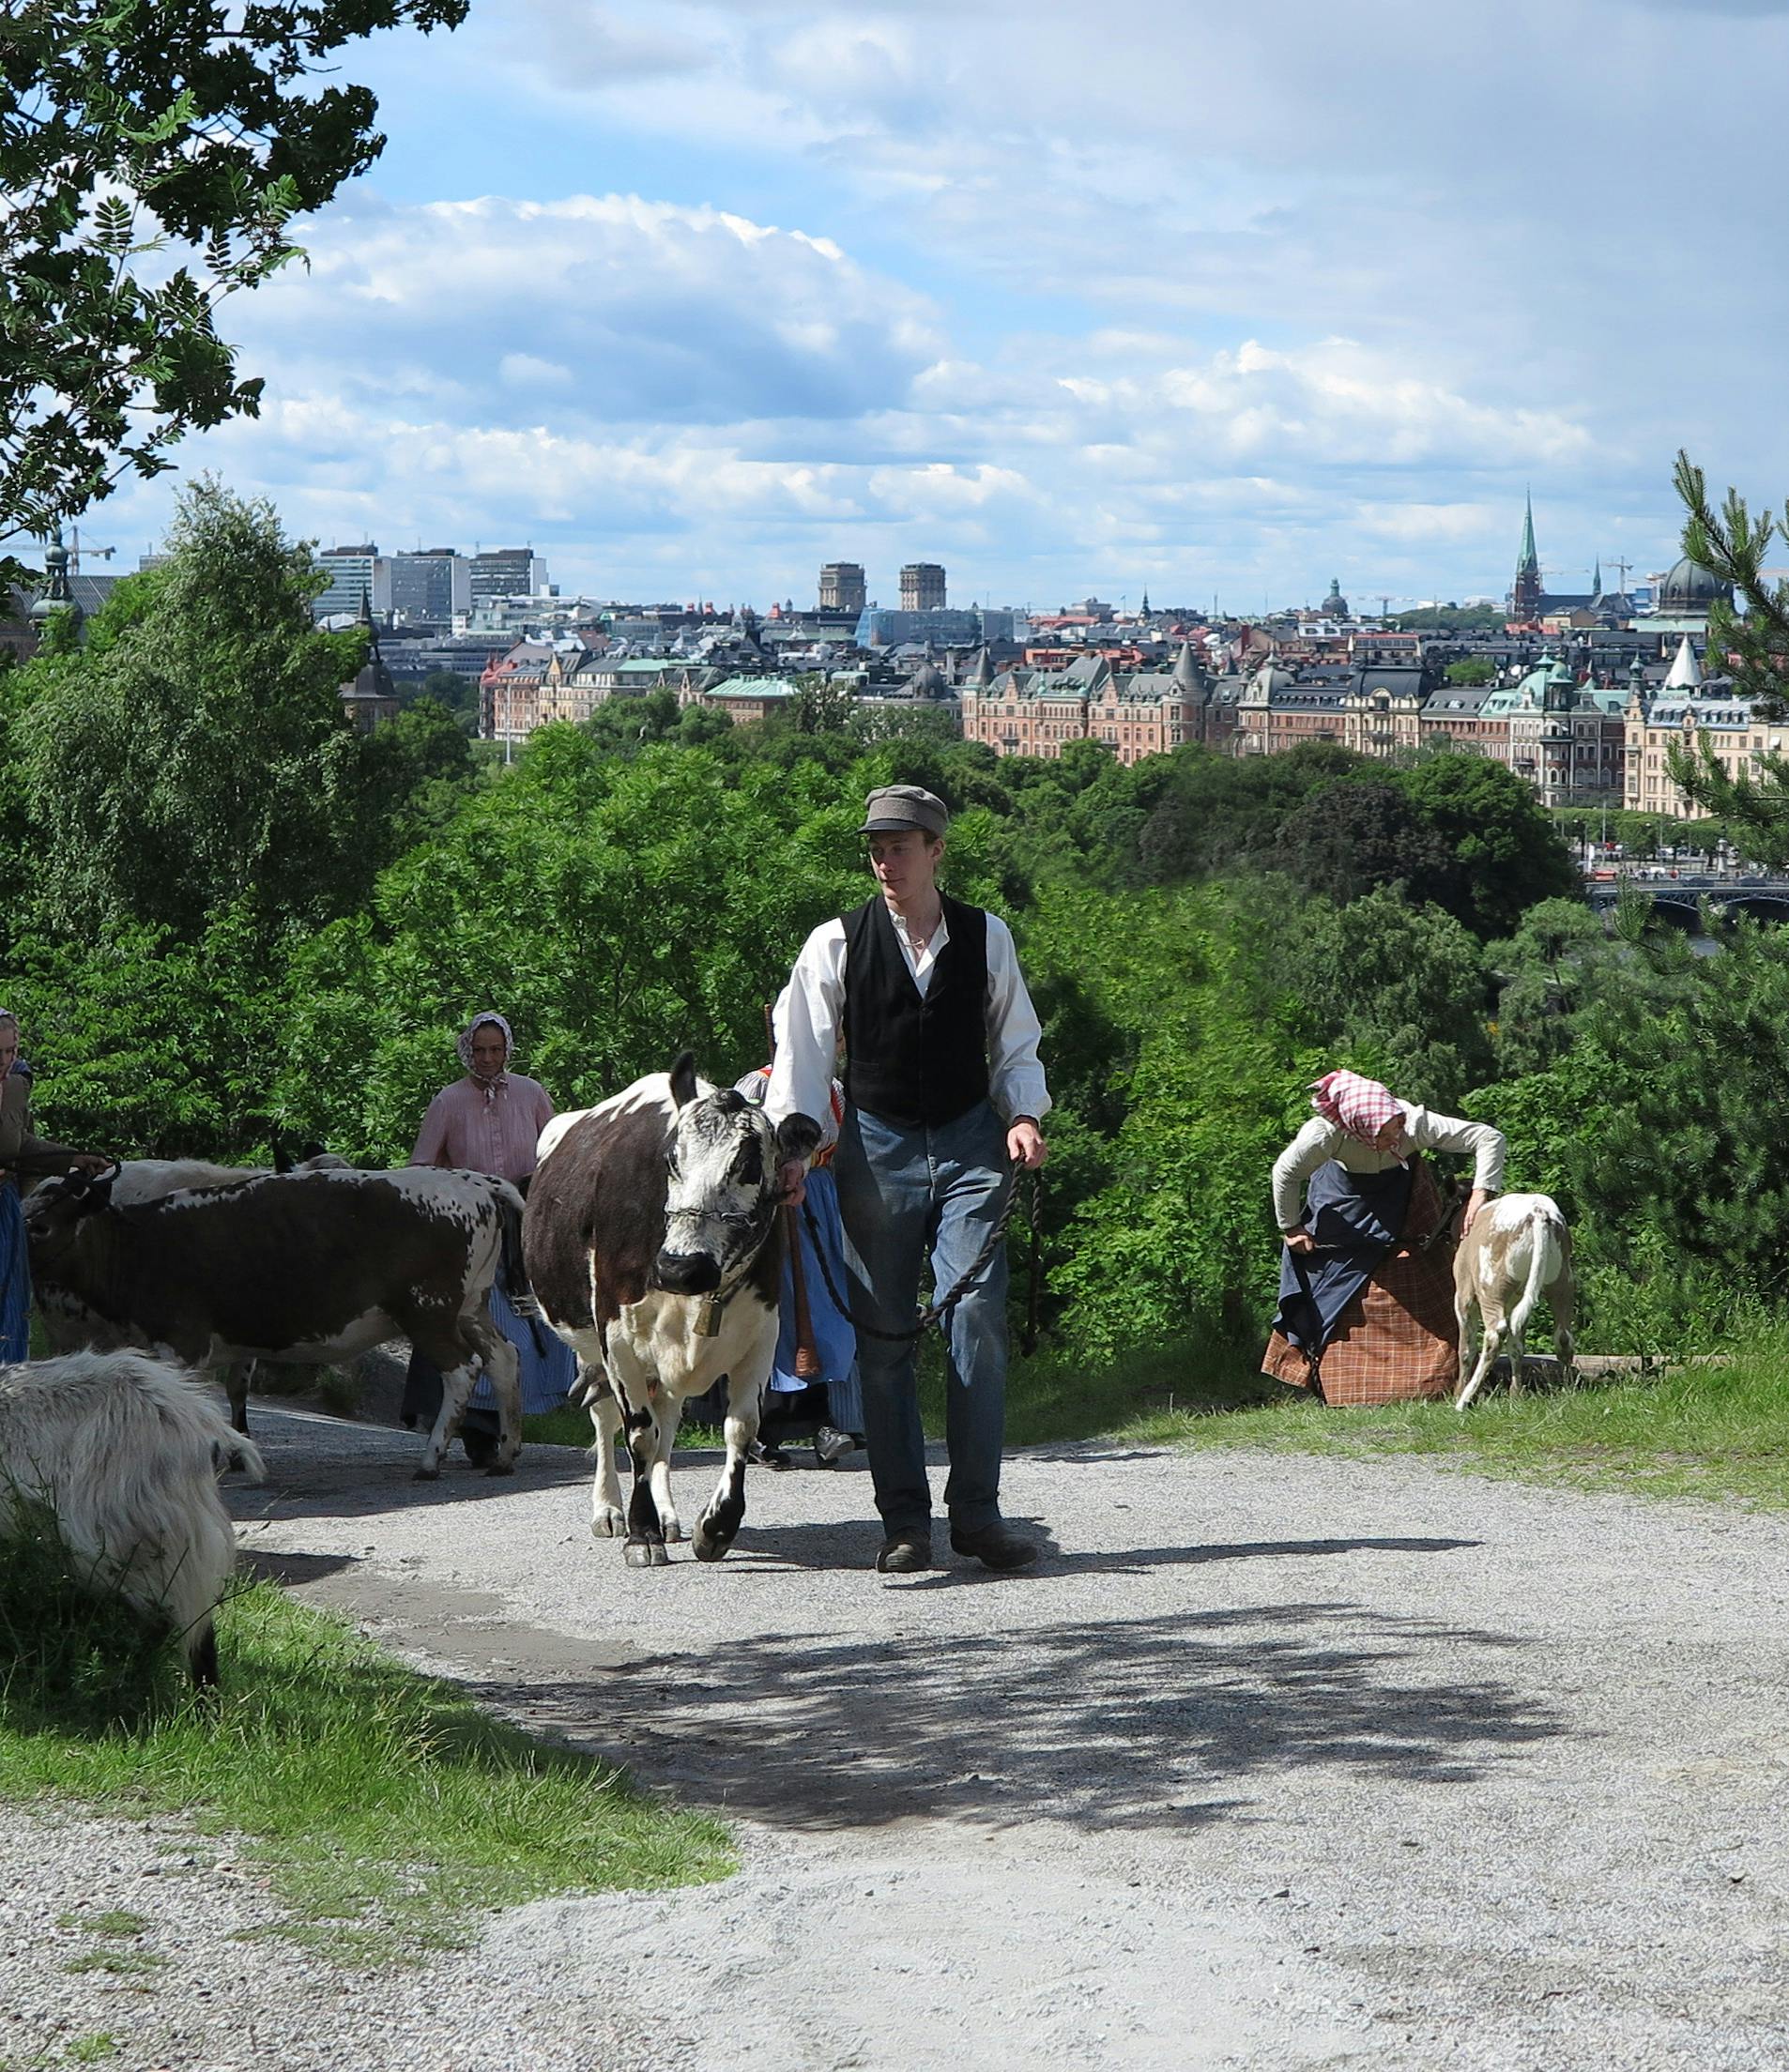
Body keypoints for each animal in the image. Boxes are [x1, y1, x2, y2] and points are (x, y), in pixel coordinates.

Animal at [24, 1165, 527, 1480]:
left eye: (42, 1227)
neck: (141, 1243)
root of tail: (470, 1179)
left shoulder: (182, 1341)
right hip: (471, 1308)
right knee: (504, 1358)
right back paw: (505, 1454)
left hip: (428, 1312)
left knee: (462, 1370)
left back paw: (430, 1461)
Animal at [524, 1053, 821, 1568]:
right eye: (670, 1160)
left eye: (748, 1167)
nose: (681, 1267)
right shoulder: (616, 1338)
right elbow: (638, 1435)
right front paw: (640, 1533)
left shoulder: (761, 1333)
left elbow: (740, 1428)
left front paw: (716, 1527)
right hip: (587, 1346)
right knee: (606, 1419)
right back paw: (609, 1510)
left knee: (667, 1421)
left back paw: (665, 1514)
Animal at [1453, 1193, 1577, 1410]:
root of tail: (1539, 1211)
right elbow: (1516, 1344)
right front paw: (1516, 1394)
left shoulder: (1463, 1297)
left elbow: (1466, 1349)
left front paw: (1458, 1392)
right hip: (1562, 1282)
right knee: (1563, 1336)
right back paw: (1566, 1389)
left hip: (1490, 1288)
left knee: (1495, 1335)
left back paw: (1464, 1399)